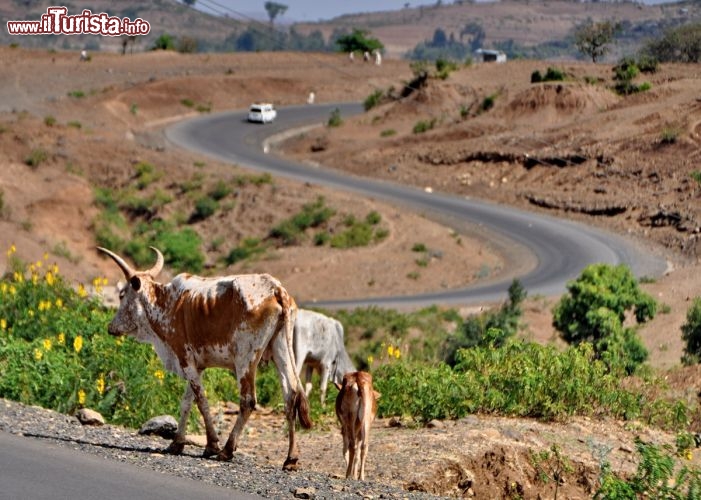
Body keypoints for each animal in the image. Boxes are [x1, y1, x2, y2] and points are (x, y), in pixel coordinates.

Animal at [96, 248, 312, 470]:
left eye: (122, 295)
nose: (111, 327)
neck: (167, 304)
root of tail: (275, 288)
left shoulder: (185, 359)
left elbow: (201, 401)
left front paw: (212, 445)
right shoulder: (196, 366)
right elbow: (186, 402)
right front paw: (177, 443)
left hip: (245, 358)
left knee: (248, 400)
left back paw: (227, 450)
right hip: (281, 349)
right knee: (291, 397)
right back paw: (291, 458)